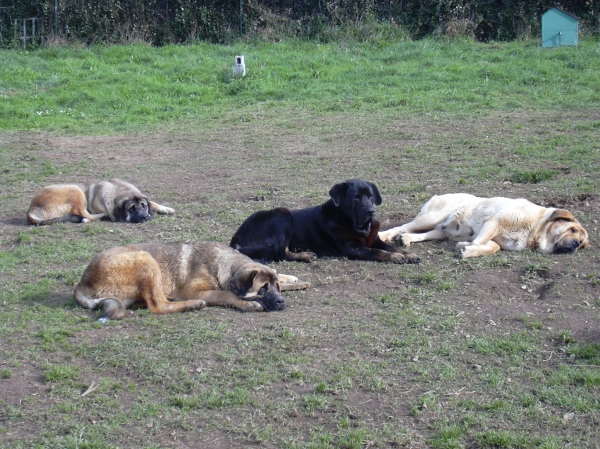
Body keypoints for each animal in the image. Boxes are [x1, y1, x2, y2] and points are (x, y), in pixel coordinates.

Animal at [73, 242, 312, 318]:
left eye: (276, 287)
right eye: (263, 288)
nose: (281, 302)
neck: (225, 263)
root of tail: (82, 282)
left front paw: (294, 280)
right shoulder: (197, 289)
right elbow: (227, 293)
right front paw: (247, 303)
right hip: (146, 260)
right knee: (158, 305)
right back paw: (192, 305)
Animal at [230, 178, 422, 262]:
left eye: (370, 196)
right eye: (356, 198)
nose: (371, 211)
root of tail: (236, 236)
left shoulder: (375, 240)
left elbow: (392, 247)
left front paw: (409, 254)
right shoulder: (352, 249)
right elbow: (378, 252)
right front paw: (395, 257)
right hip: (281, 214)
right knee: (278, 252)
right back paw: (305, 255)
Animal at [382, 193, 588, 260]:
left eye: (583, 243)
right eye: (573, 230)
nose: (576, 244)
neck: (534, 229)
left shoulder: (497, 238)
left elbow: (492, 247)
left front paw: (469, 249)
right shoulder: (493, 222)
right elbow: (481, 241)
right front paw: (466, 247)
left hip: (441, 231)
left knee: (418, 234)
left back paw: (407, 239)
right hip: (432, 217)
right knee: (403, 226)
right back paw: (386, 235)